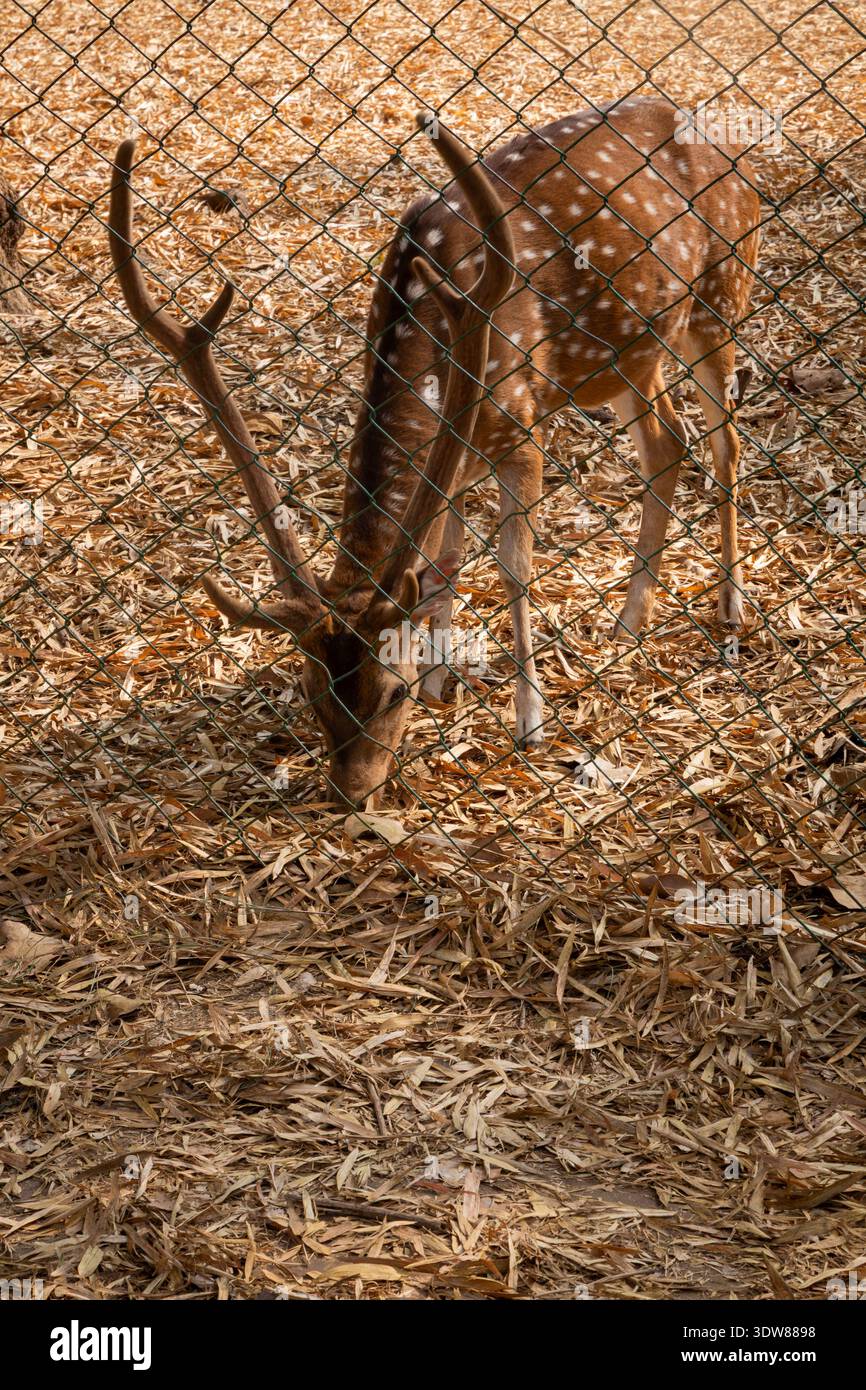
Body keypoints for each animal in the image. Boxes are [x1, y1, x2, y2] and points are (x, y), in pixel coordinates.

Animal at [107, 97, 760, 809]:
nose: (353, 792)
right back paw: (630, 620)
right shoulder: (459, 457)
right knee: (668, 441)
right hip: (632, 354)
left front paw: (527, 721)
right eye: (310, 692)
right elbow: (441, 565)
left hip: (721, 298)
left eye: (388, 694)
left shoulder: (521, 424)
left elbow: (510, 567)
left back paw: (729, 611)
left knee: (726, 440)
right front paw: (440, 680)